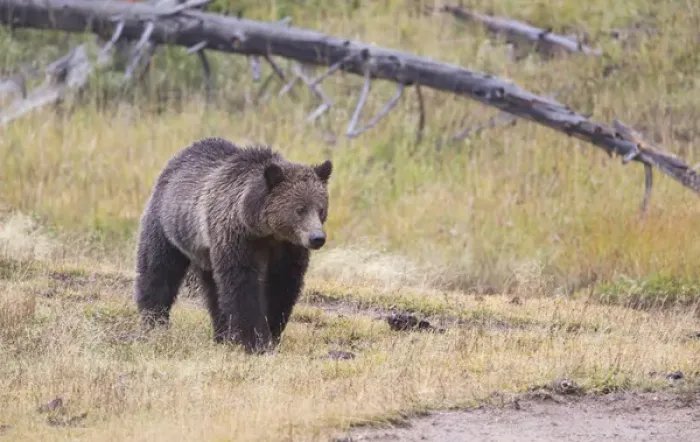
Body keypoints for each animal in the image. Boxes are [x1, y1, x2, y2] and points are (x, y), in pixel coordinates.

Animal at [133, 137, 332, 353]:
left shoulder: (288, 248)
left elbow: (283, 286)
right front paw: (255, 340)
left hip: (204, 251)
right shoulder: (238, 238)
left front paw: (271, 331)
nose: (317, 238)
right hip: (168, 225)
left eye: (321, 209)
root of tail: (178, 157)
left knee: (213, 290)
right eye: (299, 209)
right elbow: (242, 285)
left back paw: (221, 334)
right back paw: (153, 321)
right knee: (158, 269)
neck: (265, 231)